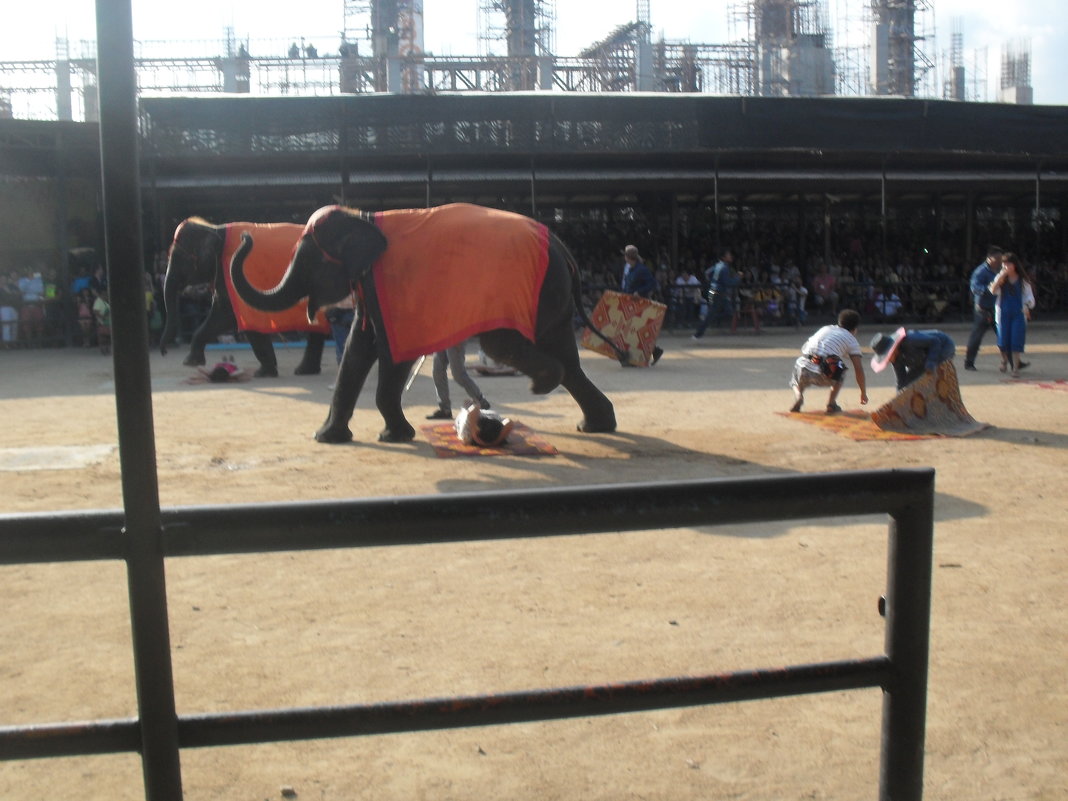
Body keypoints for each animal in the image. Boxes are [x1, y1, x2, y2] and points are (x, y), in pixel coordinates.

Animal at [159, 216, 328, 380]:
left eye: (181, 258)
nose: (164, 352)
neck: (216, 229)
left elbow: (231, 315)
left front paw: (263, 373)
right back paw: (305, 370)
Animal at [226, 201, 623, 446]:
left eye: (307, 262)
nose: (245, 236)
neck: (363, 218)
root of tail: (560, 243)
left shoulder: (397, 290)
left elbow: (389, 351)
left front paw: (396, 436)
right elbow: (357, 349)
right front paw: (328, 438)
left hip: (533, 289)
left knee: (502, 343)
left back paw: (542, 386)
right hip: (553, 295)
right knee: (565, 356)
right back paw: (593, 425)